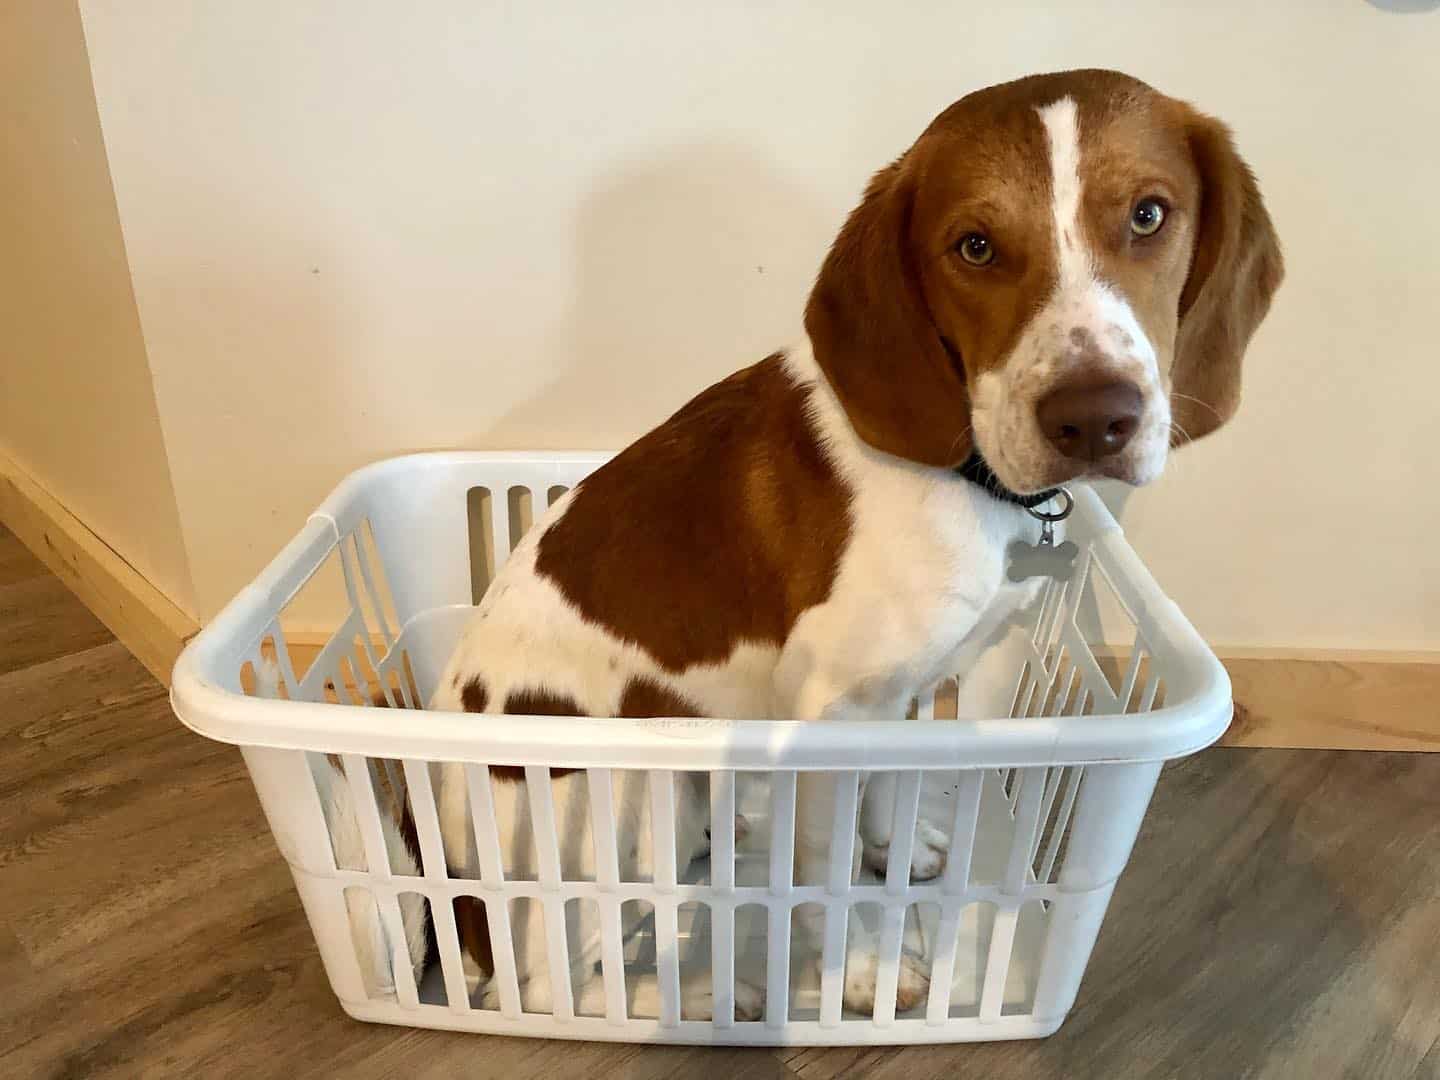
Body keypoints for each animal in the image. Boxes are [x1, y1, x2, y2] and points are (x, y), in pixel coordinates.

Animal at [426, 72, 1284, 1019]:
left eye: (1148, 215)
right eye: (975, 246)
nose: (1093, 418)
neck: (963, 469)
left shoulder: (895, 697)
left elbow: (882, 792)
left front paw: (891, 850)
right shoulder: (831, 710)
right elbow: (825, 883)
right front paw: (864, 971)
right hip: (628, 798)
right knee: (555, 981)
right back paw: (711, 993)